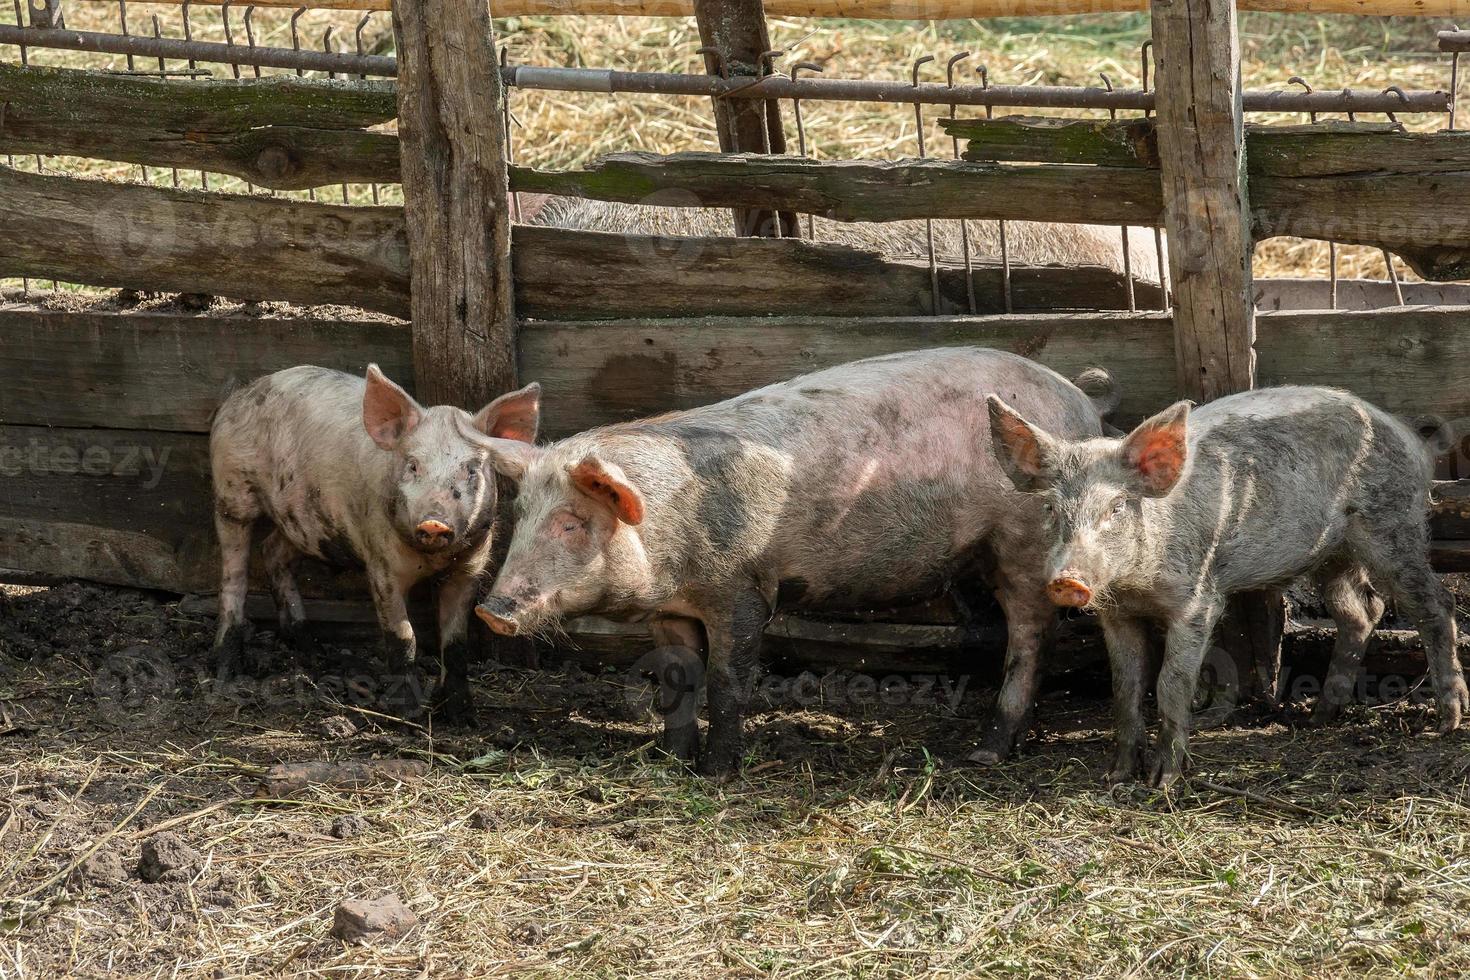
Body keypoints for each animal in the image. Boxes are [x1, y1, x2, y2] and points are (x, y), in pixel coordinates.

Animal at [210, 365, 543, 719]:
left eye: (471, 470)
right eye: (413, 465)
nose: (434, 521)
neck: (432, 558)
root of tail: (241, 394)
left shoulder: (469, 568)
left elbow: (455, 643)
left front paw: (462, 717)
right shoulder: (381, 564)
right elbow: (403, 637)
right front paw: (408, 715)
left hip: (301, 519)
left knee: (273, 552)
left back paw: (308, 646)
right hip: (232, 492)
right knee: (234, 575)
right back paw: (227, 668)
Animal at [452, 348, 1105, 775]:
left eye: (573, 522)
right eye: (522, 516)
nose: (493, 611)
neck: (671, 530)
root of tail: (1080, 401)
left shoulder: (741, 590)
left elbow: (728, 678)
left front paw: (717, 772)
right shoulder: (670, 609)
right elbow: (676, 679)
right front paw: (670, 760)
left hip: (1023, 545)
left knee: (1032, 638)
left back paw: (985, 752)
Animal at [987, 384, 1470, 787]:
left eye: (1118, 506)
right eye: (1051, 508)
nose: (1067, 581)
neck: (1136, 586)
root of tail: (1415, 441)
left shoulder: (1197, 601)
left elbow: (1170, 682)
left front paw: (1162, 782)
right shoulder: (1115, 614)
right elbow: (1125, 687)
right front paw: (1117, 776)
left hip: (1394, 529)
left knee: (1437, 605)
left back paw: (1445, 722)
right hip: (1333, 554)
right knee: (1362, 611)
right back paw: (1320, 717)